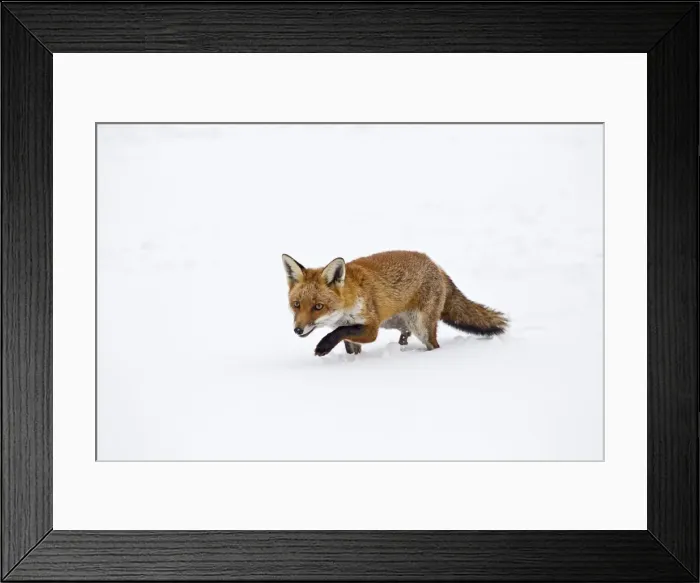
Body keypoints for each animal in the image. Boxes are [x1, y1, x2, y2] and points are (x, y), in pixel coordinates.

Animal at [282, 250, 508, 357]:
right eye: (296, 304)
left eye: (318, 307)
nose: (298, 330)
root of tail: (436, 265)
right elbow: (346, 340)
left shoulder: (371, 328)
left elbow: (340, 332)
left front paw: (323, 346)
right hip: (399, 323)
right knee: (405, 337)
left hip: (420, 326)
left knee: (434, 345)